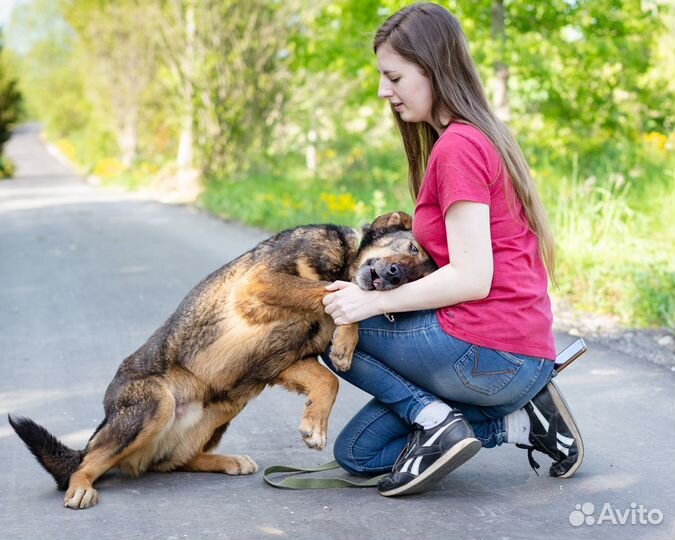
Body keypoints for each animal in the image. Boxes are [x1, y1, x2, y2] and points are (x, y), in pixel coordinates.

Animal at [9, 212, 438, 510]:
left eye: (419, 279)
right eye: (412, 248)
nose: (395, 275)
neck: (344, 259)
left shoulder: (285, 362)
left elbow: (327, 379)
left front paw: (316, 419)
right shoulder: (261, 283)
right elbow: (334, 290)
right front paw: (345, 337)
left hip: (225, 406)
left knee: (169, 463)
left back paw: (226, 461)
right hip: (154, 406)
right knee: (87, 462)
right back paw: (82, 487)